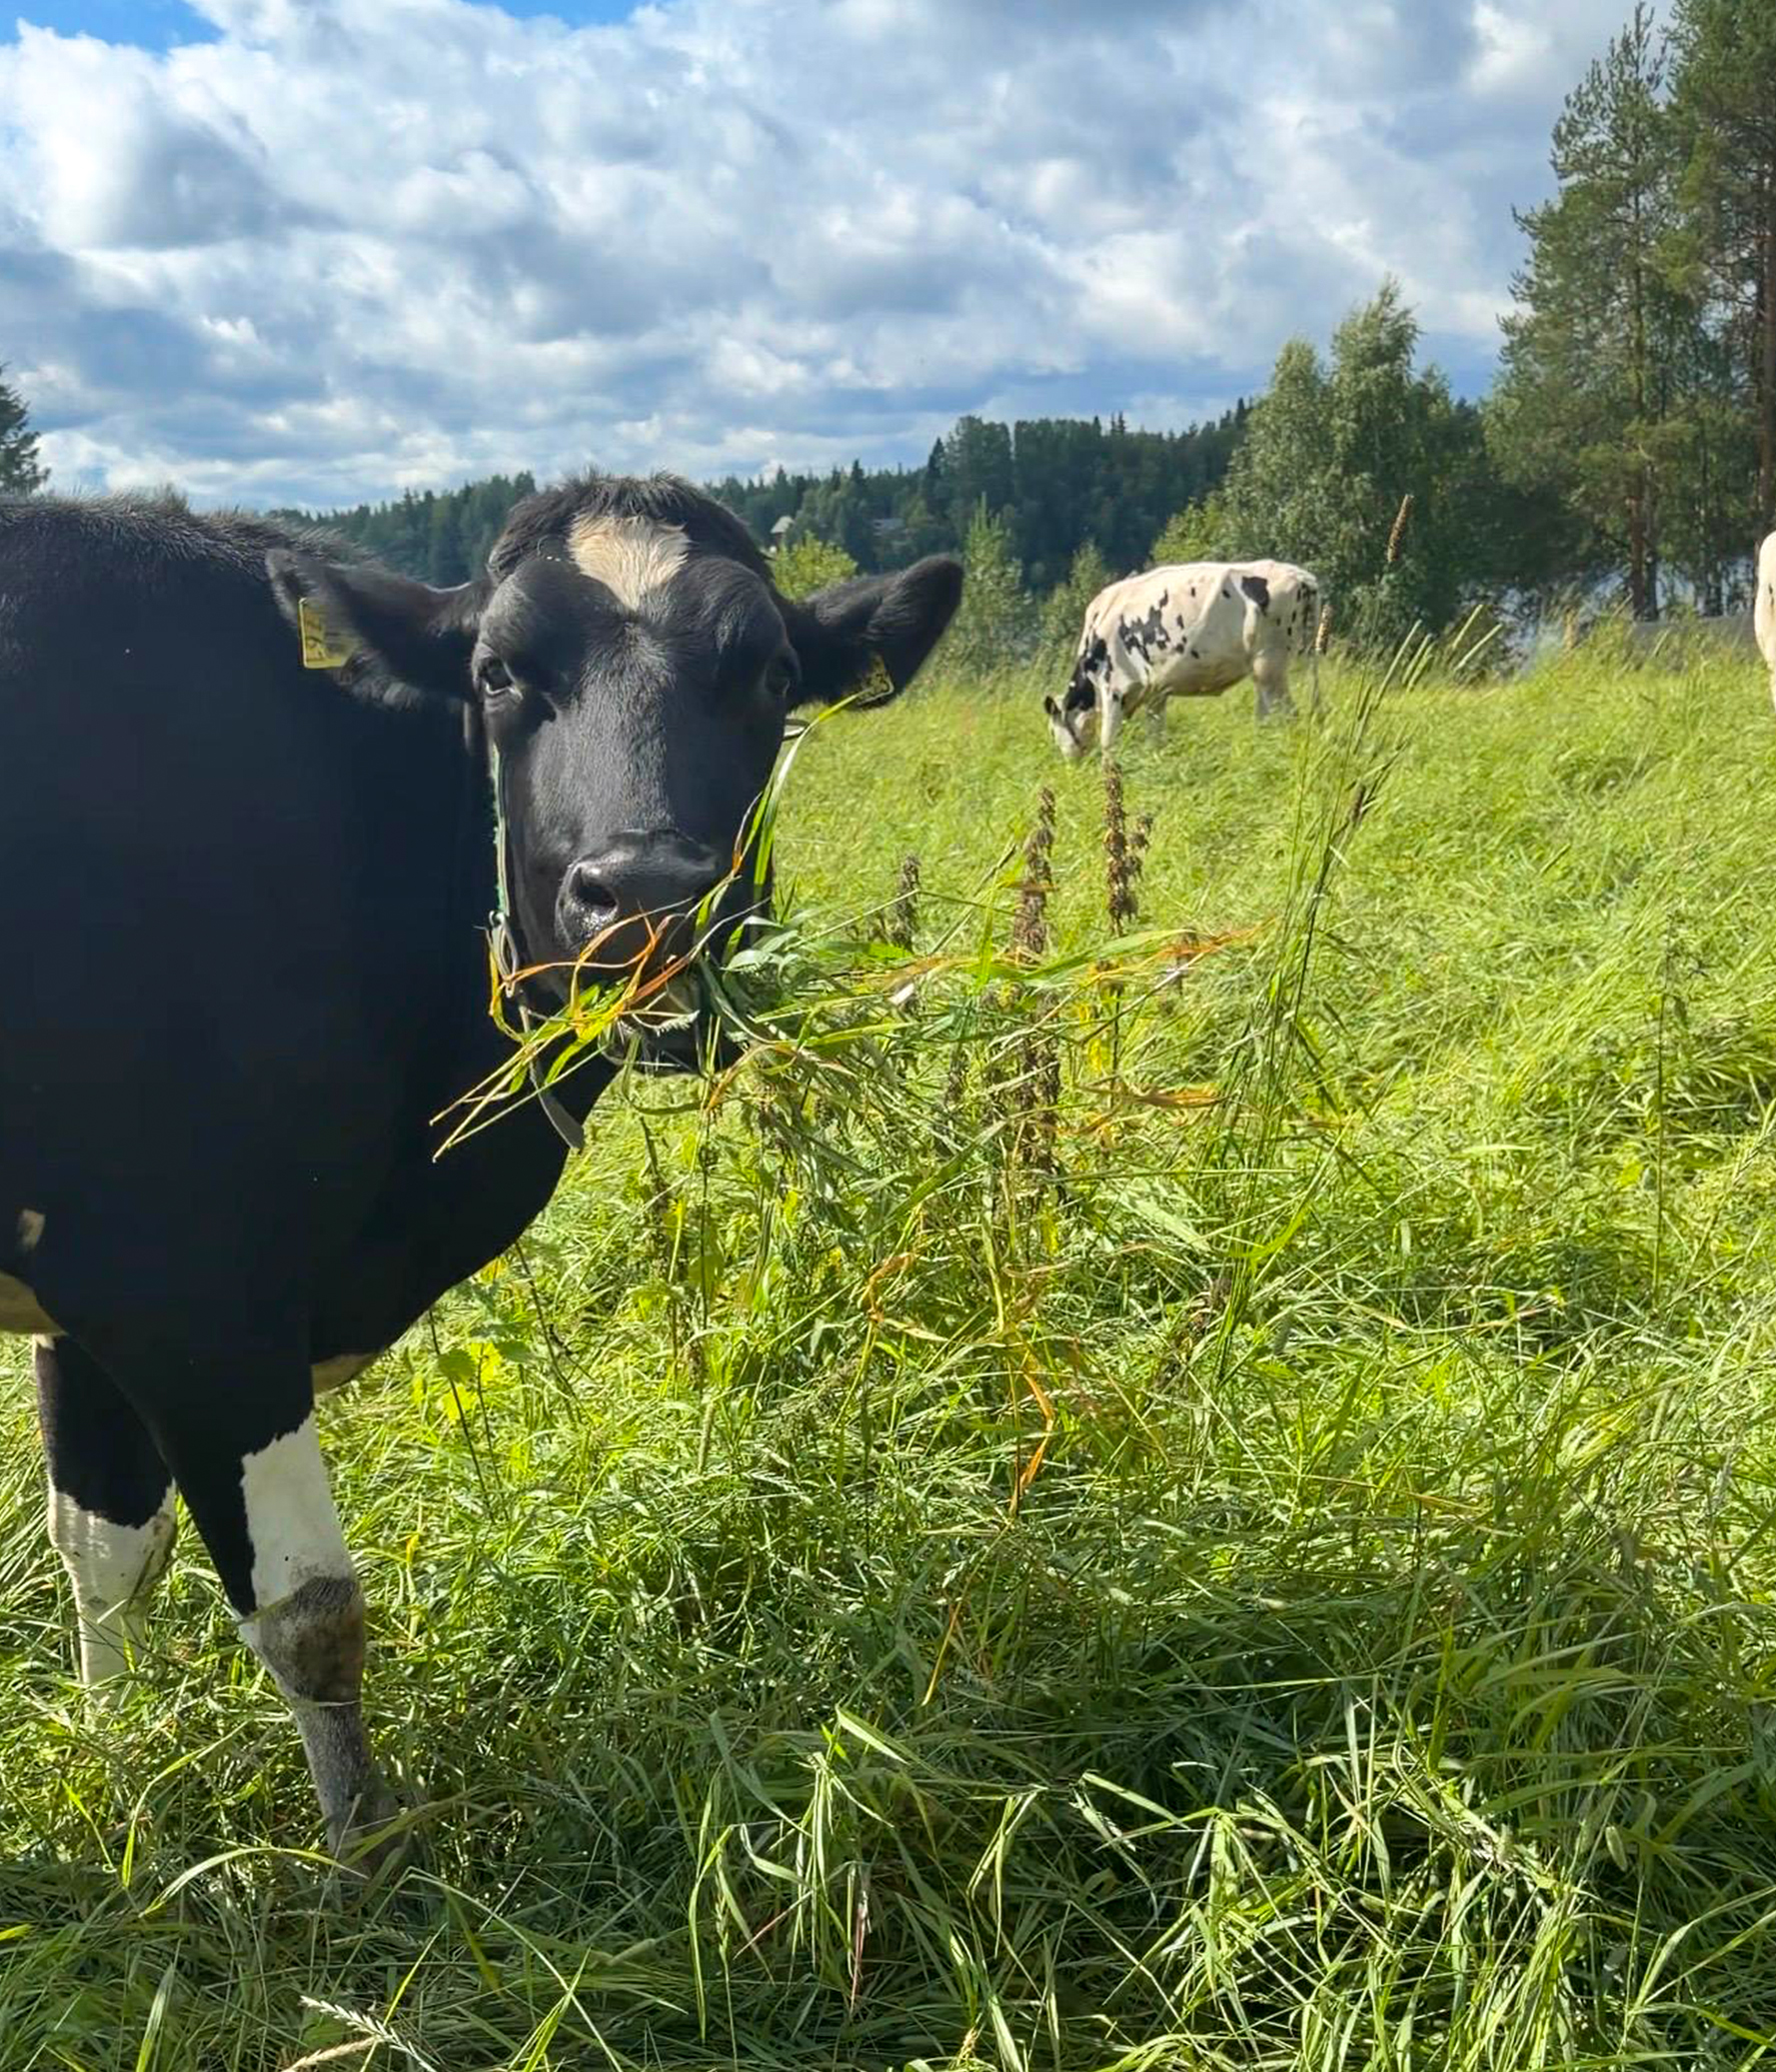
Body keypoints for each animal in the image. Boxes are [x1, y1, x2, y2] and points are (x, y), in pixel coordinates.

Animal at [0, 476, 961, 1862]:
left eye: (773, 672)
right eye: (500, 671)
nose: (650, 898)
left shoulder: (90, 1282)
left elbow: (102, 1541)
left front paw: (115, 1763)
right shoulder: (188, 1281)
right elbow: (310, 1610)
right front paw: (366, 1855)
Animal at [1044, 559, 1322, 759]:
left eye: (1052, 729)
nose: (1070, 764)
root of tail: (1301, 576)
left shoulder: (1115, 688)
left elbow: (1108, 743)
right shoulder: (1155, 694)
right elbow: (1156, 736)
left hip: (1269, 664)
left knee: (1287, 713)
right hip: (1267, 668)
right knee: (1267, 714)